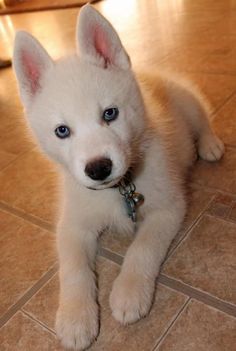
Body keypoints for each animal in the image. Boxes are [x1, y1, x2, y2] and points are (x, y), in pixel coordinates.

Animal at [12, 4, 223, 350]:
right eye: (62, 131)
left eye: (110, 114)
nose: (98, 168)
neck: (118, 189)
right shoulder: (72, 224)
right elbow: (73, 268)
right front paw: (75, 317)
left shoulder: (168, 208)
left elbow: (142, 248)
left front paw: (129, 291)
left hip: (186, 101)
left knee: (202, 117)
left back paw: (209, 144)